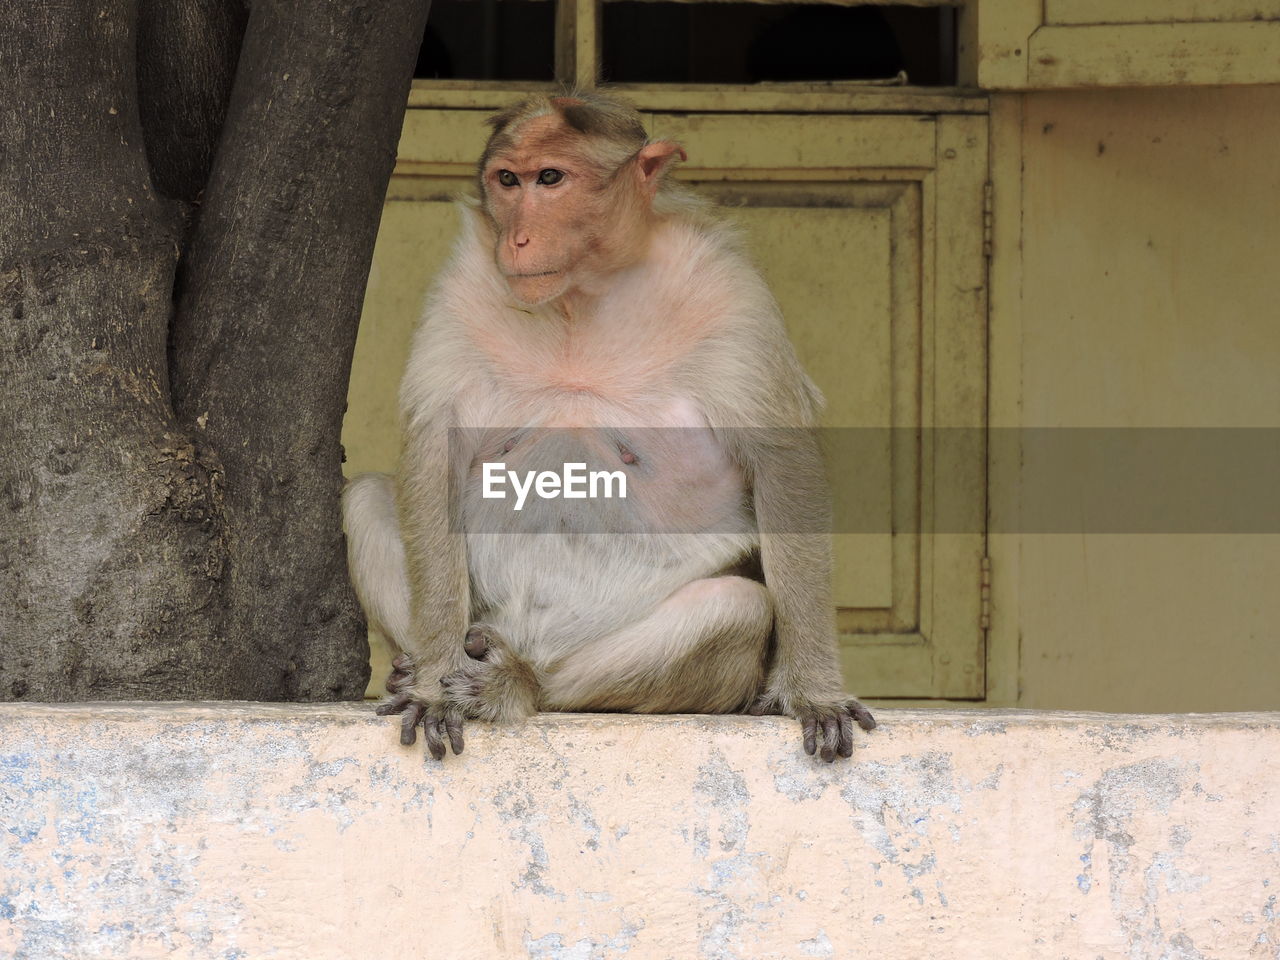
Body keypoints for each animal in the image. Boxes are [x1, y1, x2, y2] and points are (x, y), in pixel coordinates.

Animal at [345, 92, 875, 768]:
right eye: (507, 180)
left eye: (550, 178)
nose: (517, 238)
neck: (583, 294)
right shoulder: (460, 289)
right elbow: (433, 454)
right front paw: (435, 685)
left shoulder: (733, 295)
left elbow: (783, 463)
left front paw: (811, 690)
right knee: (366, 497)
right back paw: (421, 671)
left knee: (735, 608)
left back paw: (517, 684)